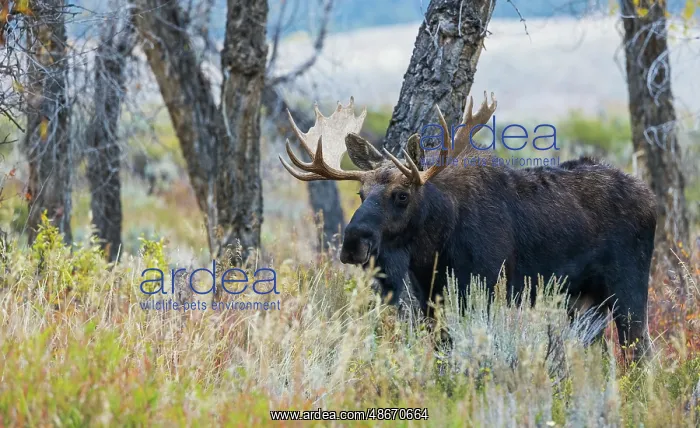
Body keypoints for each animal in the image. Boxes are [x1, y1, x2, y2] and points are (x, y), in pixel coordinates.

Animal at [278, 91, 657, 363]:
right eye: (360, 193)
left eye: (401, 194)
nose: (353, 243)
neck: (432, 248)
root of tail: (651, 198)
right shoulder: (432, 299)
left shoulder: (483, 287)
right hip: (582, 301)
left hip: (627, 287)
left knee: (641, 350)